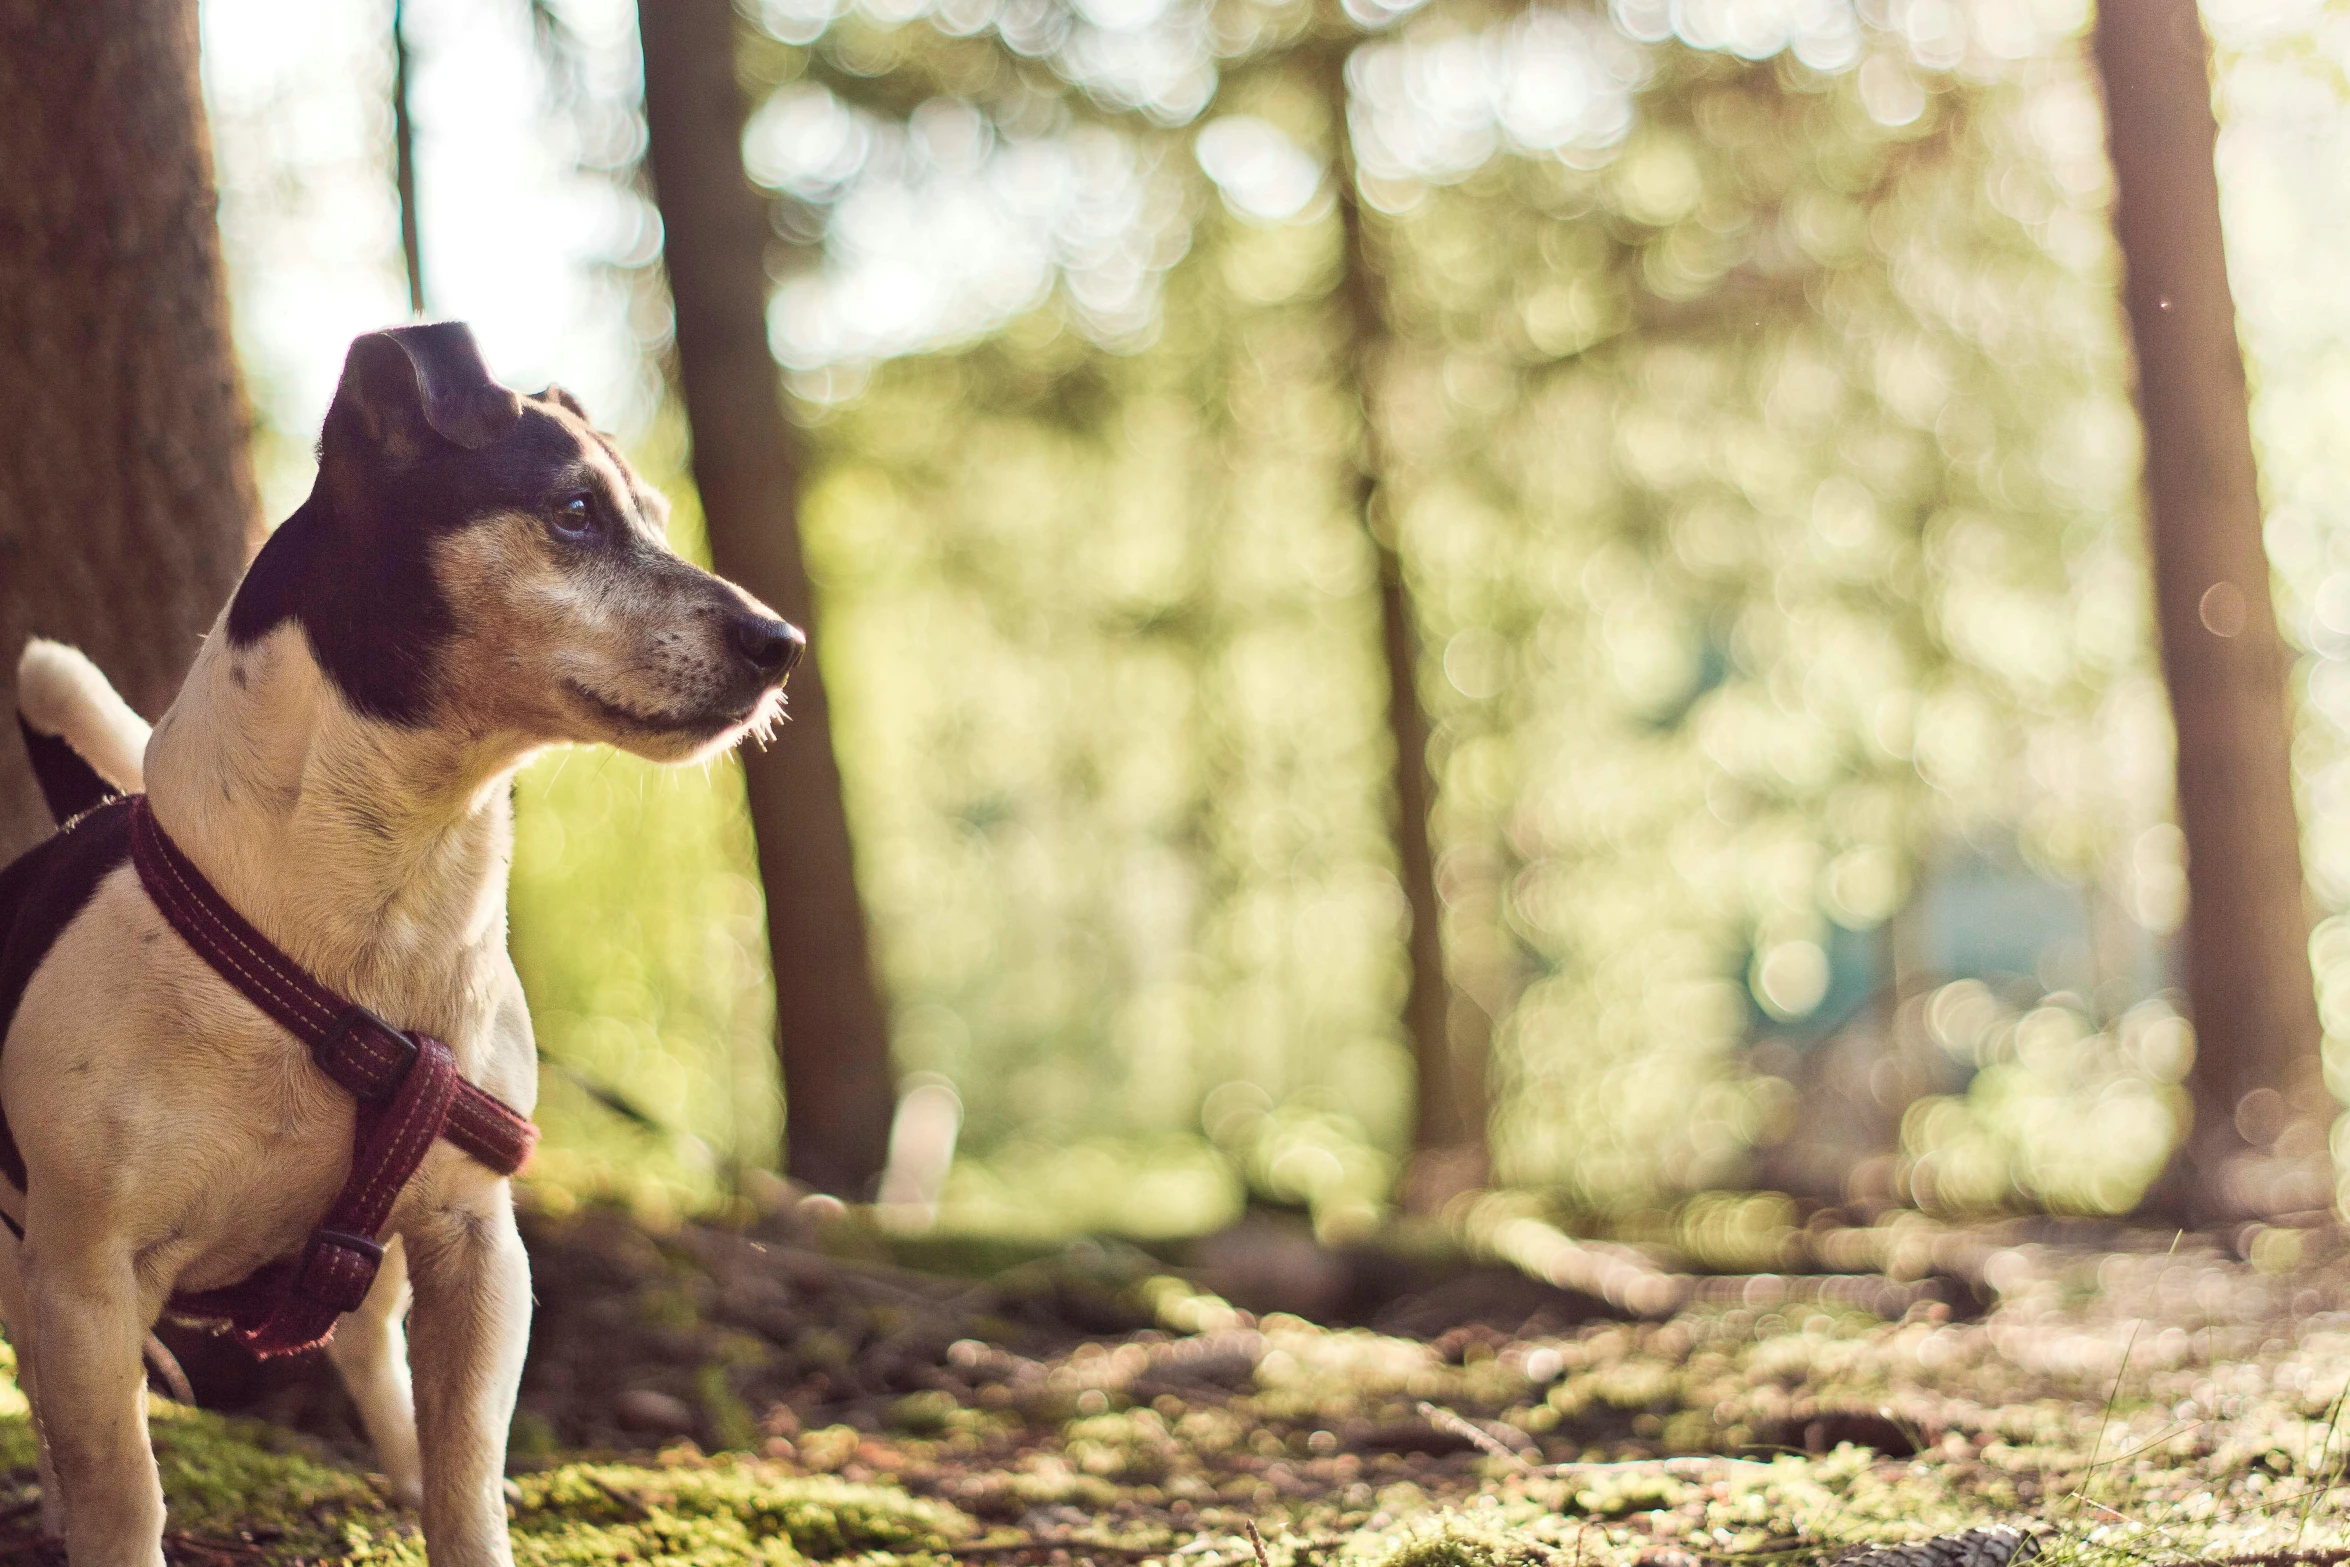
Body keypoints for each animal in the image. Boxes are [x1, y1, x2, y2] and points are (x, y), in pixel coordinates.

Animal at [0, 324, 803, 1559]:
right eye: (574, 512)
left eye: (659, 517)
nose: (784, 642)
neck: (383, 914)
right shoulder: (86, 1279)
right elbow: (120, 1484)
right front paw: (96, 1511)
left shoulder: (477, 1247)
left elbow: (467, 1469)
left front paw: (453, 1505)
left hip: (372, 1274)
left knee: (378, 1368)